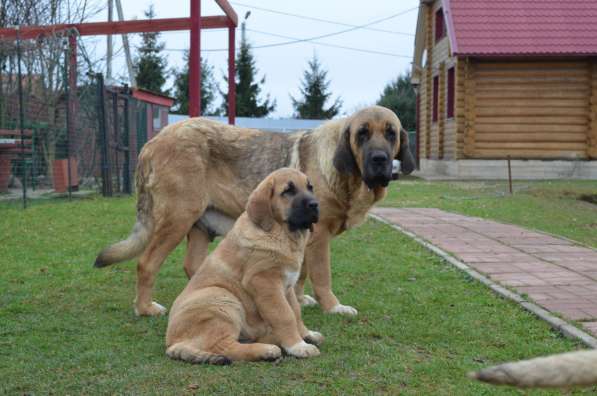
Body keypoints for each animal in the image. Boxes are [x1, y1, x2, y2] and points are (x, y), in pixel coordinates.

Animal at [94, 105, 414, 316]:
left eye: (391, 134)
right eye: (362, 134)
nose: (380, 159)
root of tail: (152, 142)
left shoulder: (308, 235)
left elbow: (302, 273)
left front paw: (300, 299)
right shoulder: (320, 235)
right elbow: (322, 276)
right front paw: (334, 307)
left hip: (199, 226)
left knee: (194, 266)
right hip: (177, 218)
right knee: (146, 263)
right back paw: (145, 308)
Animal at [165, 169, 324, 364]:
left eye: (310, 187)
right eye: (288, 191)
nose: (315, 204)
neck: (281, 233)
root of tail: (172, 342)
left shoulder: (287, 287)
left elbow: (295, 312)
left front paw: (306, 335)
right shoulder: (265, 283)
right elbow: (284, 315)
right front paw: (298, 346)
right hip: (220, 298)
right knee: (224, 346)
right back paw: (267, 350)